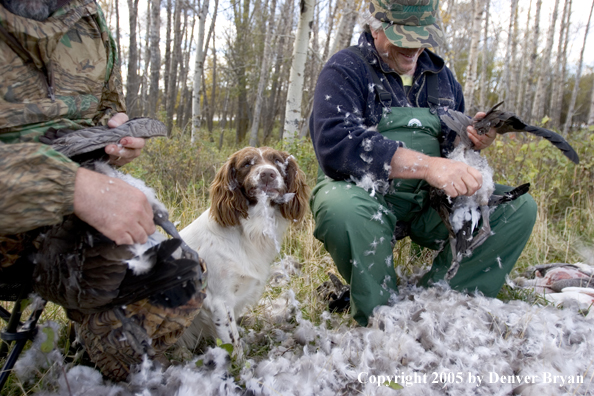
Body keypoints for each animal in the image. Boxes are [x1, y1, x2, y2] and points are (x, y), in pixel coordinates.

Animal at [176, 147, 308, 358]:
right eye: (246, 164)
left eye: (277, 161)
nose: (267, 174)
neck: (251, 231)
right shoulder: (219, 302)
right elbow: (233, 344)